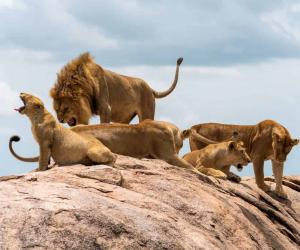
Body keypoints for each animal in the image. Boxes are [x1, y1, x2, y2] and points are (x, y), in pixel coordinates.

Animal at [50, 53, 184, 127]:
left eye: (66, 108)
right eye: (56, 109)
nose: (60, 120)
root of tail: (150, 88)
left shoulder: (106, 108)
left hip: (147, 113)